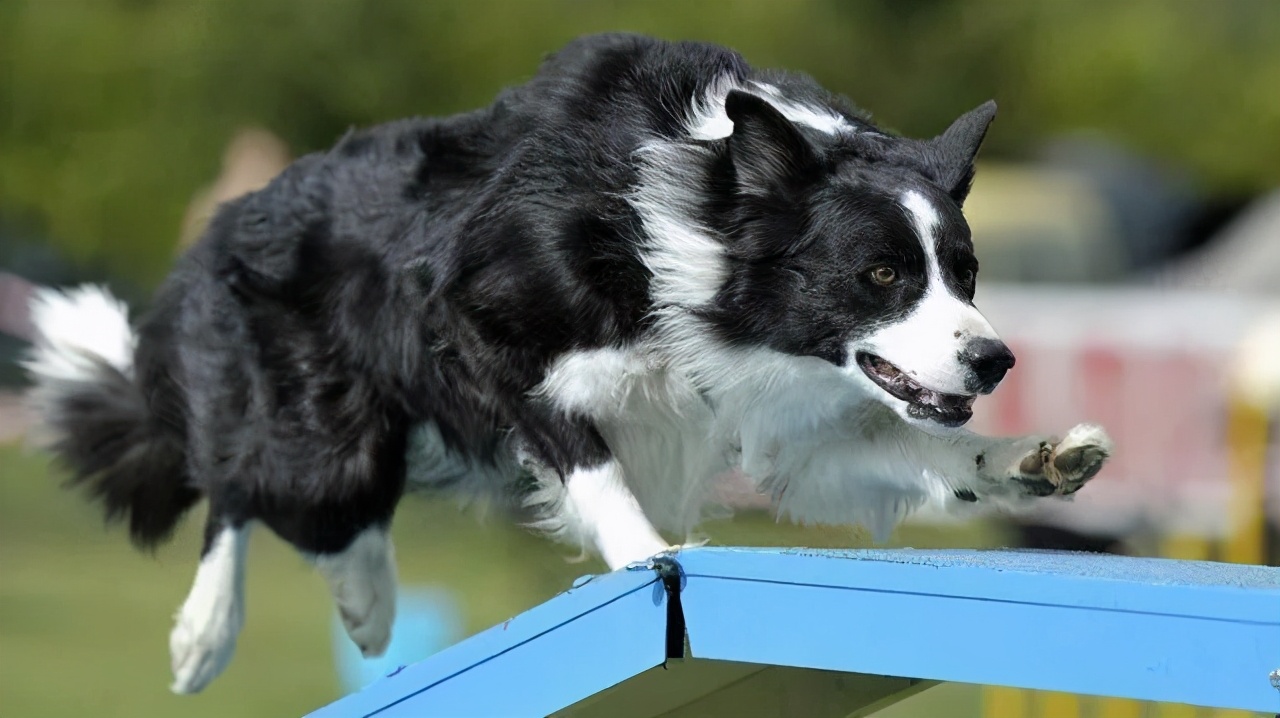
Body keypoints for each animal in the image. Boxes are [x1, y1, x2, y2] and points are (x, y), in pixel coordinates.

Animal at [24, 35, 1116, 696]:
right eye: (882, 273)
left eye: (964, 271)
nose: (993, 358)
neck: (704, 220)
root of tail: (224, 221)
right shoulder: (475, 323)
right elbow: (588, 460)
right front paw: (644, 555)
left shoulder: (784, 425)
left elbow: (912, 451)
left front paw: (1033, 459)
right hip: (315, 436)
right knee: (239, 486)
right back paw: (210, 630)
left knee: (329, 515)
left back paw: (368, 604)